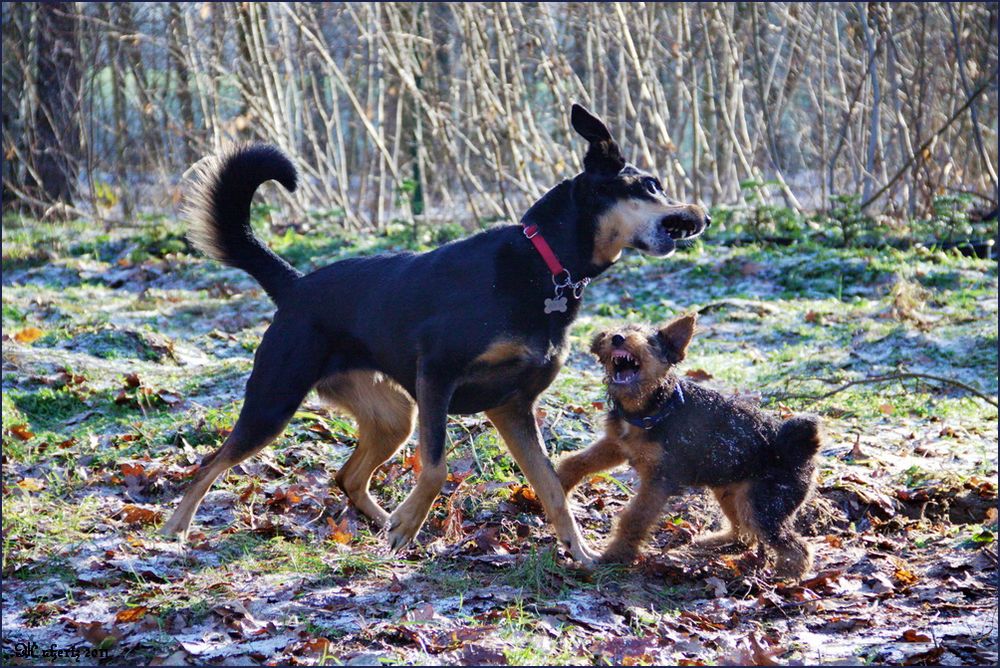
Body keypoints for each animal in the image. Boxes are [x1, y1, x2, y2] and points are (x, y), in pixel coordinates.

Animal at [162, 104, 712, 564]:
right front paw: (411, 521)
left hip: (393, 416)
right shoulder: (438, 376)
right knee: (211, 463)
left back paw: (386, 523)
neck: (546, 265)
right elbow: (436, 466)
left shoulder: (512, 406)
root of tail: (294, 286)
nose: (703, 216)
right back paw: (174, 531)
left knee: (348, 476)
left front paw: (579, 552)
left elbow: (553, 487)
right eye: (651, 185)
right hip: (275, 401)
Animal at [556, 314, 820, 580]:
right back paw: (714, 542)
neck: (654, 407)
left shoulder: (660, 480)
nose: (617, 338)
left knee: (797, 546)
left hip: (763, 505)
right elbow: (577, 462)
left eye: (651, 342)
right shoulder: (616, 445)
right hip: (730, 493)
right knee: (744, 534)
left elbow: (634, 519)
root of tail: (803, 446)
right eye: (618, 330)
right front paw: (559, 483)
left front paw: (615, 556)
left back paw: (787, 574)